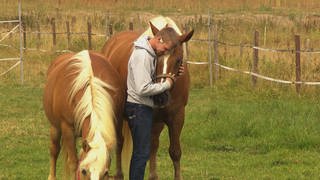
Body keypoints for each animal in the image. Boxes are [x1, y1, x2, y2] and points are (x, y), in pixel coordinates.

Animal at [43, 50, 125, 179]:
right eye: (84, 171)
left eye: (105, 173)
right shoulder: (67, 128)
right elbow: (73, 162)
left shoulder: (118, 121)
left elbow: (119, 146)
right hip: (55, 127)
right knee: (54, 150)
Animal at [101, 16, 194, 179]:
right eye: (155, 57)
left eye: (178, 60)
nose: (161, 96)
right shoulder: (151, 118)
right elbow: (149, 147)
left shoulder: (177, 117)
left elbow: (174, 152)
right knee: (119, 142)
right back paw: (118, 174)